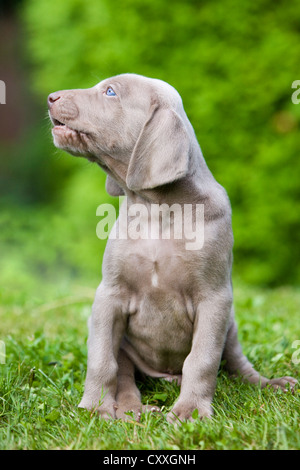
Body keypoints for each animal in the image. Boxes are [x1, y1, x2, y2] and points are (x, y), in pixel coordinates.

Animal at [48, 73, 296, 422]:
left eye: (110, 92)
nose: (51, 97)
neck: (157, 210)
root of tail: (165, 376)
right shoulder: (109, 295)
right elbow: (102, 359)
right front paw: (94, 406)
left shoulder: (214, 298)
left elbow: (202, 360)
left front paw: (190, 411)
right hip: (126, 346)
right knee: (125, 375)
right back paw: (132, 410)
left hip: (231, 325)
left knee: (236, 364)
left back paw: (270, 384)